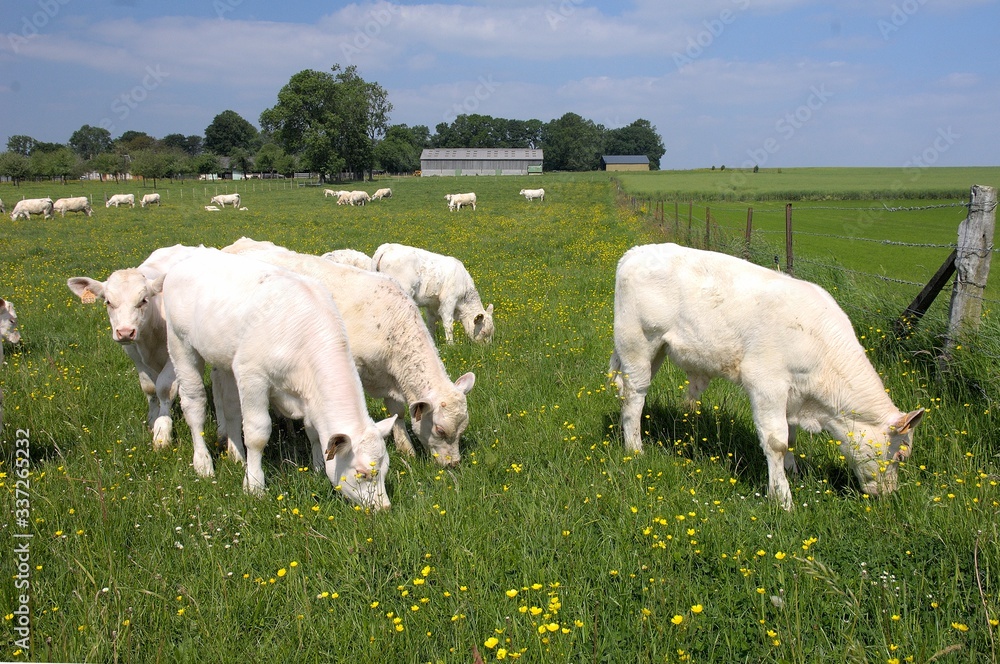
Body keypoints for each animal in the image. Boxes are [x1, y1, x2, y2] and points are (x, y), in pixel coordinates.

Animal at [67, 244, 200, 450]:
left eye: (143, 300)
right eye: (108, 302)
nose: (125, 332)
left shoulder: (174, 357)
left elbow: (164, 388)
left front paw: (162, 432)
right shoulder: (136, 357)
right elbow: (149, 388)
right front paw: (153, 420)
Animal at [154, 248, 395, 508]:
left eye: (385, 470)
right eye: (362, 473)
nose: (383, 508)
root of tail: (185, 261)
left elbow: (312, 431)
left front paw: (318, 467)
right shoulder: (253, 376)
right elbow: (257, 433)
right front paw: (254, 484)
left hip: (227, 362)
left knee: (231, 409)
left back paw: (237, 457)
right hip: (181, 345)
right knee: (194, 405)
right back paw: (203, 462)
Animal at [224, 238, 476, 466]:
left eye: (462, 430)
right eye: (440, 430)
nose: (453, 464)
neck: (389, 322)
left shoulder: (391, 375)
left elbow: (397, 412)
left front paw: (406, 449)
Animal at [608, 243, 925, 510]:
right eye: (901, 456)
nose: (889, 494)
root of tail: (636, 252)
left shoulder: (794, 395)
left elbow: (791, 438)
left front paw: (793, 472)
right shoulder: (766, 384)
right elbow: (776, 441)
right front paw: (782, 498)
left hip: (657, 350)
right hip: (637, 343)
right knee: (635, 394)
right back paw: (635, 449)